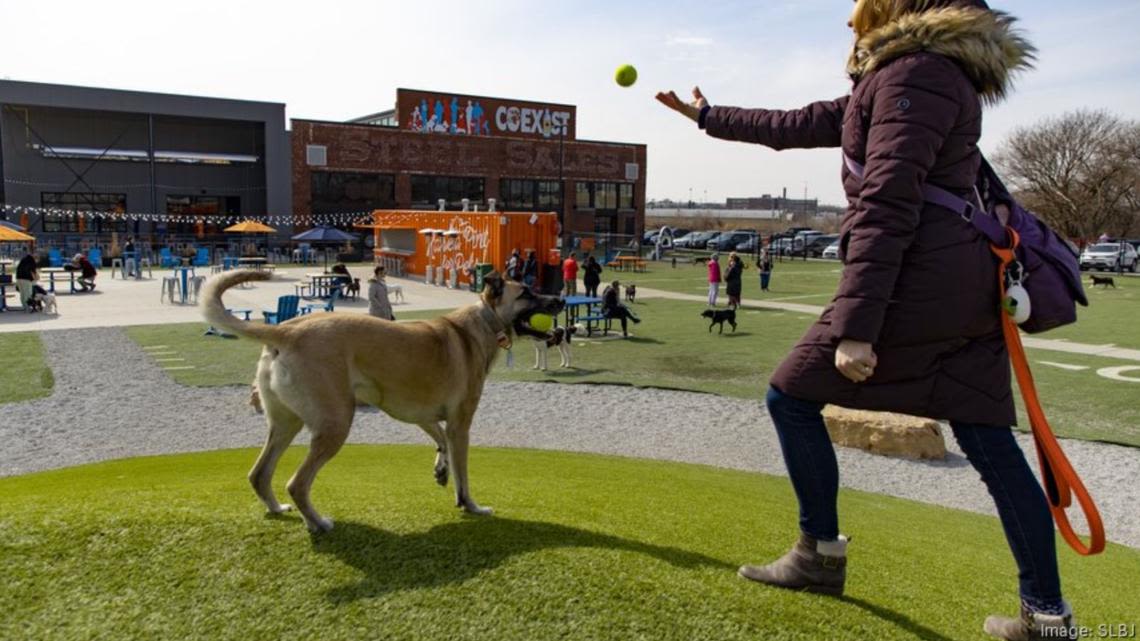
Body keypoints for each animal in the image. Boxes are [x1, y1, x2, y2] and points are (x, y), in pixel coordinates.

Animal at [204, 268, 565, 529]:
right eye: (527, 293)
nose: (560, 300)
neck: (483, 323)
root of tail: (285, 330)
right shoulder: (460, 423)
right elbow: (463, 473)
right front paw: (471, 505)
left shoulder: (423, 414)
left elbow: (440, 440)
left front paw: (440, 469)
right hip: (335, 424)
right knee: (297, 482)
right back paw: (318, 523)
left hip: (285, 424)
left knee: (259, 474)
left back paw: (277, 508)